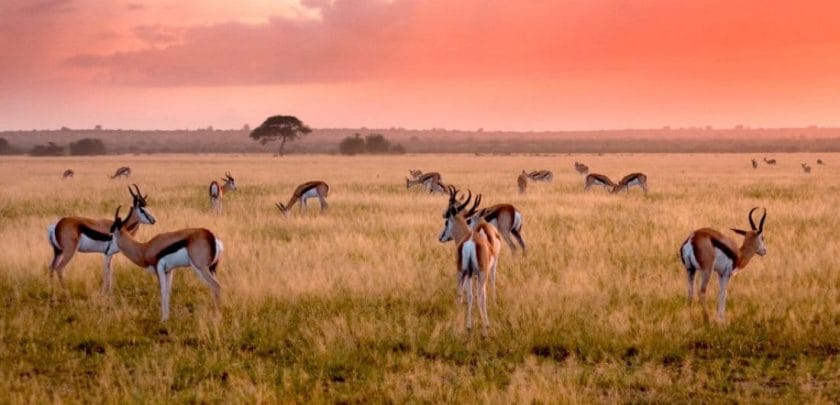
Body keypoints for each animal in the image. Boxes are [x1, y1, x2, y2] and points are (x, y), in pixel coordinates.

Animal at [436, 188, 502, 330]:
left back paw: (468, 325)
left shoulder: (467, 273)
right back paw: (485, 324)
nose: (441, 237)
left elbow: (467, 294)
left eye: (446, 222)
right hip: (481, 272)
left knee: (468, 295)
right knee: (481, 294)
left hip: (466, 272)